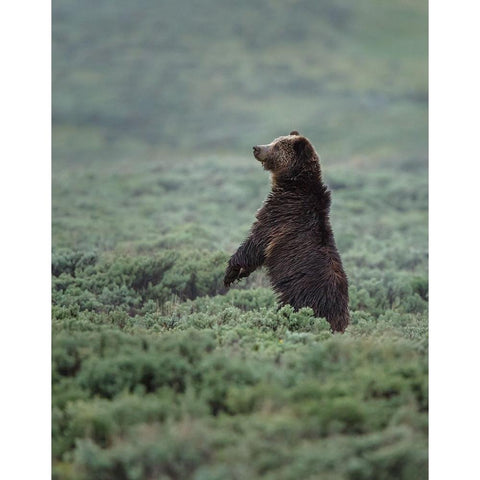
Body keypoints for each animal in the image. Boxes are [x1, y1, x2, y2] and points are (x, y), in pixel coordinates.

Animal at [225, 131, 348, 334]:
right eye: (273, 140)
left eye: (276, 146)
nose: (256, 148)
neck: (294, 185)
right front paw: (240, 273)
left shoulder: (279, 217)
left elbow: (256, 243)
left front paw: (231, 272)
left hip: (300, 295)